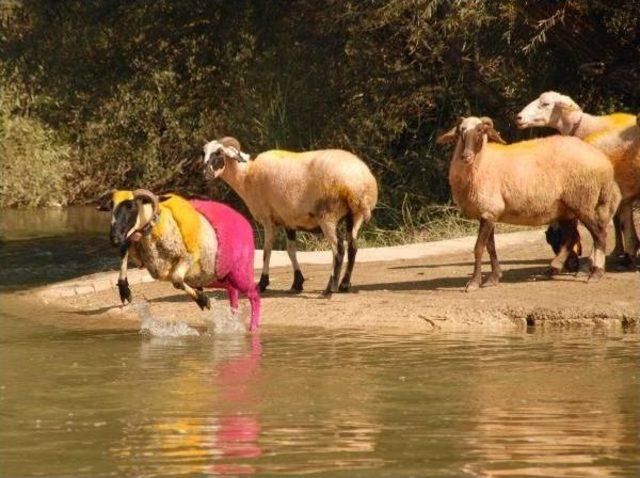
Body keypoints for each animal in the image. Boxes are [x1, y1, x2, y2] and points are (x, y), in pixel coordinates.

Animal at [97, 189, 260, 330]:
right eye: (111, 207)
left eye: (130, 206)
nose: (114, 238)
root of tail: (245, 222)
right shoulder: (139, 255)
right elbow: (123, 252)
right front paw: (124, 290)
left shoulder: (188, 257)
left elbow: (176, 280)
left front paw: (203, 300)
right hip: (213, 276)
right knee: (232, 291)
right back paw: (233, 318)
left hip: (239, 271)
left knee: (254, 295)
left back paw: (253, 328)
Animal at [202, 136, 378, 296]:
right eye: (204, 153)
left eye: (219, 153)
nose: (206, 174)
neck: (246, 176)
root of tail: (359, 183)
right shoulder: (289, 221)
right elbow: (291, 251)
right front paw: (297, 283)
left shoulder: (267, 218)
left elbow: (267, 250)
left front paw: (262, 283)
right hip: (354, 216)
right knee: (353, 247)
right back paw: (344, 284)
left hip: (328, 216)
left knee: (339, 248)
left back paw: (330, 288)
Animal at [438, 116, 624, 292]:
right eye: (460, 131)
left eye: (480, 131)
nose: (466, 156)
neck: (483, 162)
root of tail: (604, 162)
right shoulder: (489, 213)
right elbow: (490, 247)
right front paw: (494, 278)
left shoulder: (488, 211)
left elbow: (478, 248)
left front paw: (473, 283)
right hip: (566, 208)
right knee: (570, 237)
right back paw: (552, 268)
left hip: (583, 201)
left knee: (599, 234)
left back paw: (596, 273)